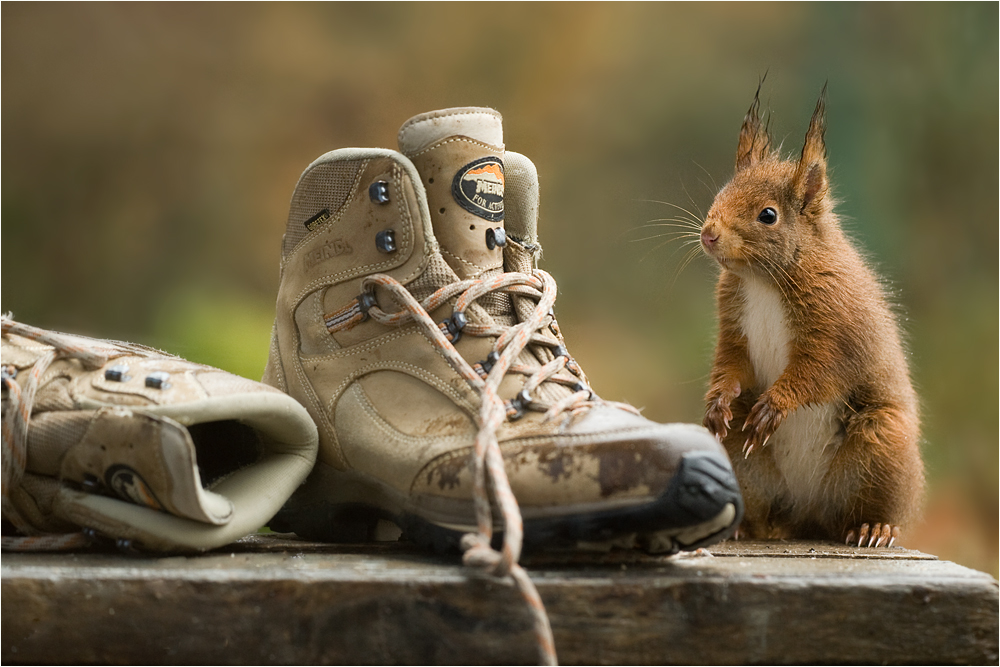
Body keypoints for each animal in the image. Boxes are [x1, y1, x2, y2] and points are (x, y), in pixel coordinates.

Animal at [704, 86, 920, 548]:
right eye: (721, 192)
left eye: (768, 215)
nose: (708, 234)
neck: (763, 281)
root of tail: (806, 515)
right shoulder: (733, 325)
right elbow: (731, 363)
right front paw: (718, 401)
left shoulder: (836, 326)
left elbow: (818, 371)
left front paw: (775, 406)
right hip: (743, 463)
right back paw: (744, 528)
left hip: (881, 445)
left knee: (865, 510)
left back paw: (874, 528)